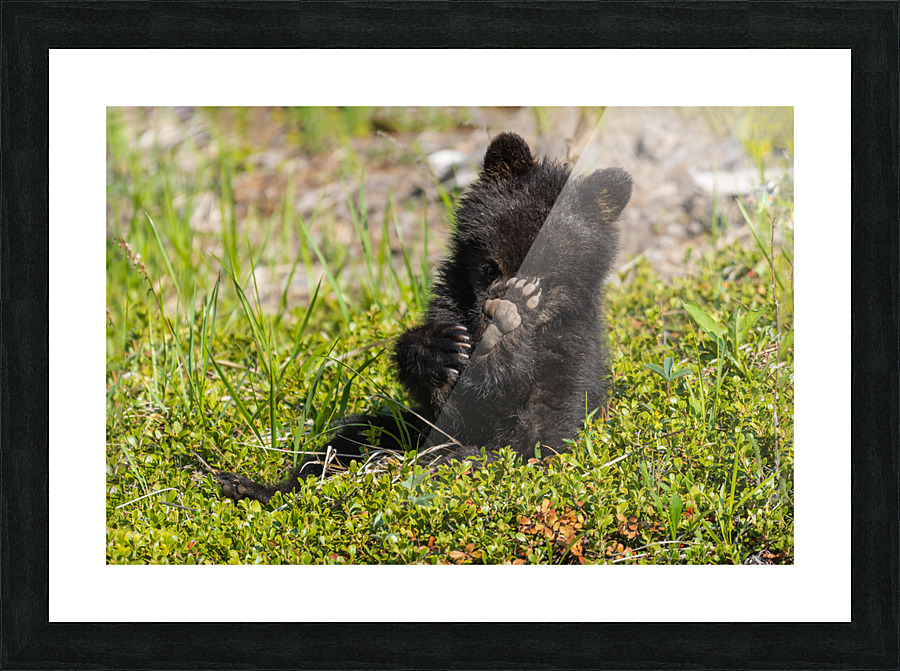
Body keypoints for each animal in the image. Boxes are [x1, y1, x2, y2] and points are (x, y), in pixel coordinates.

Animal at [213, 132, 631, 503]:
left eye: (542, 279)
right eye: (490, 266)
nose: (497, 312)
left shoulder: (566, 363)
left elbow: (538, 438)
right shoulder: (453, 311)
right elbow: (442, 400)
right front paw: (440, 350)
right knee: (352, 438)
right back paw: (250, 486)